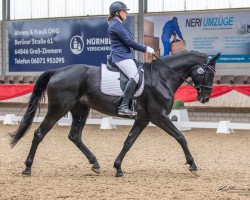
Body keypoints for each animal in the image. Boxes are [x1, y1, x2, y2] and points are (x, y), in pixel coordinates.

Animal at [10, 51, 220, 177]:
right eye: (209, 73)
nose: (205, 98)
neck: (162, 77)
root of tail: (57, 70)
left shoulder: (143, 119)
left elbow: (128, 142)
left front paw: (118, 167)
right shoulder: (158, 116)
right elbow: (180, 136)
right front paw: (192, 165)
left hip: (80, 110)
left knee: (75, 136)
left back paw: (95, 163)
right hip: (58, 109)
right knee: (39, 133)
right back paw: (27, 167)